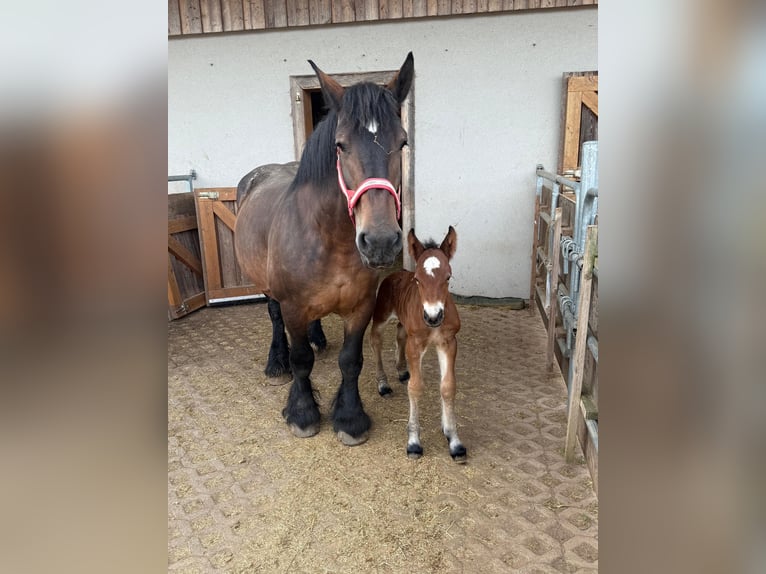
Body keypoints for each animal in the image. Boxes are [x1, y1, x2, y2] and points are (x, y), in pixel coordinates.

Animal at [234, 53, 414, 446]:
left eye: (403, 142)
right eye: (340, 145)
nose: (380, 241)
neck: (330, 241)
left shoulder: (361, 307)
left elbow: (351, 361)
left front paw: (350, 418)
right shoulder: (293, 306)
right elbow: (302, 360)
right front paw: (302, 413)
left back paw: (318, 338)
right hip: (269, 288)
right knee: (274, 318)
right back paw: (276, 363)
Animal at [370, 226, 467, 463]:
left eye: (448, 277)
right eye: (417, 279)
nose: (433, 316)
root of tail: (396, 273)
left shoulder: (448, 342)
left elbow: (448, 386)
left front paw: (454, 440)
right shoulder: (416, 344)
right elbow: (415, 387)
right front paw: (414, 442)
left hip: (405, 324)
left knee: (399, 335)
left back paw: (402, 370)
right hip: (381, 315)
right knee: (376, 339)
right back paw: (383, 384)